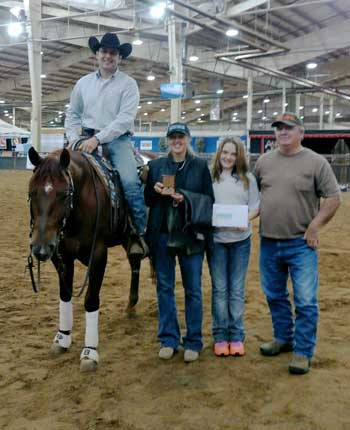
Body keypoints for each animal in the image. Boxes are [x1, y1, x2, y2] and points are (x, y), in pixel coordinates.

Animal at [27, 146, 142, 372]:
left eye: (63, 194)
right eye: (32, 192)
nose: (40, 248)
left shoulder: (98, 255)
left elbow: (90, 300)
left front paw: (89, 352)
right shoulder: (61, 254)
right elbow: (65, 295)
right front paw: (62, 338)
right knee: (135, 262)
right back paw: (131, 307)